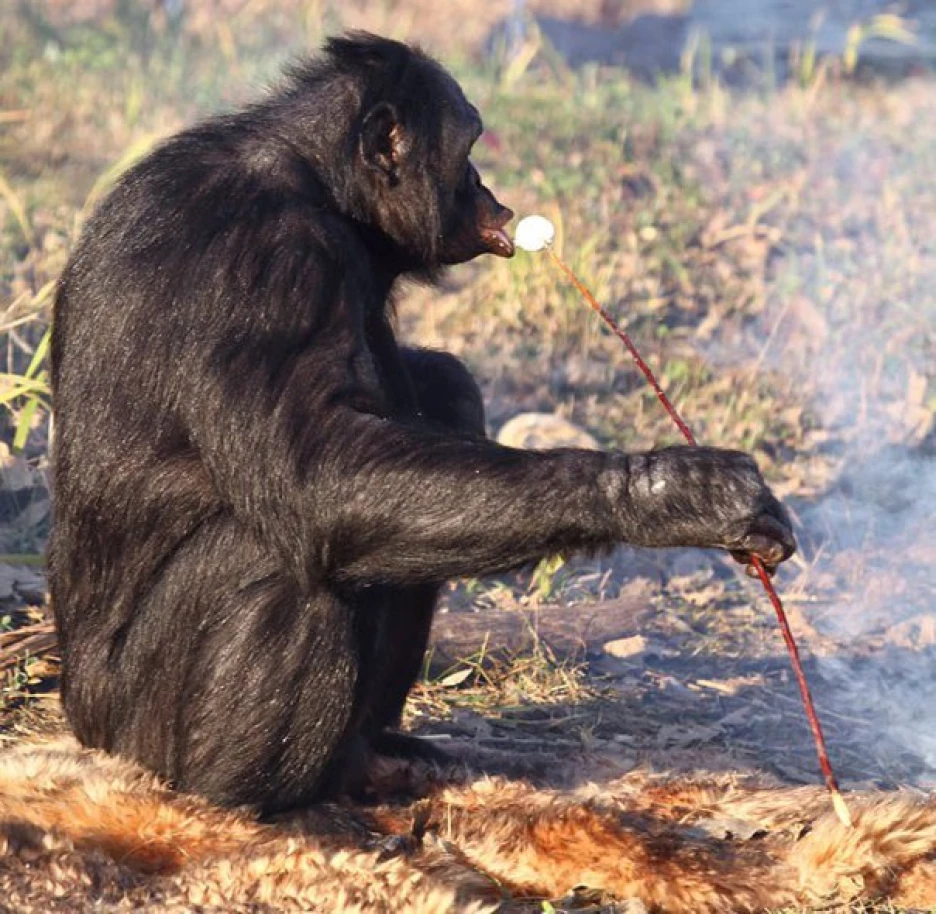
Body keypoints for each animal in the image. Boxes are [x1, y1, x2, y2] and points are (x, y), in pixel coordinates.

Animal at [49, 33, 796, 812]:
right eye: (468, 146)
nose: (486, 189)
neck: (320, 184)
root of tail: (83, 723)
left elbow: (423, 400)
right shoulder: (263, 262)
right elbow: (317, 470)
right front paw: (675, 493)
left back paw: (373, 758)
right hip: (136, 734)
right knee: (279, 557)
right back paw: (242, 805)